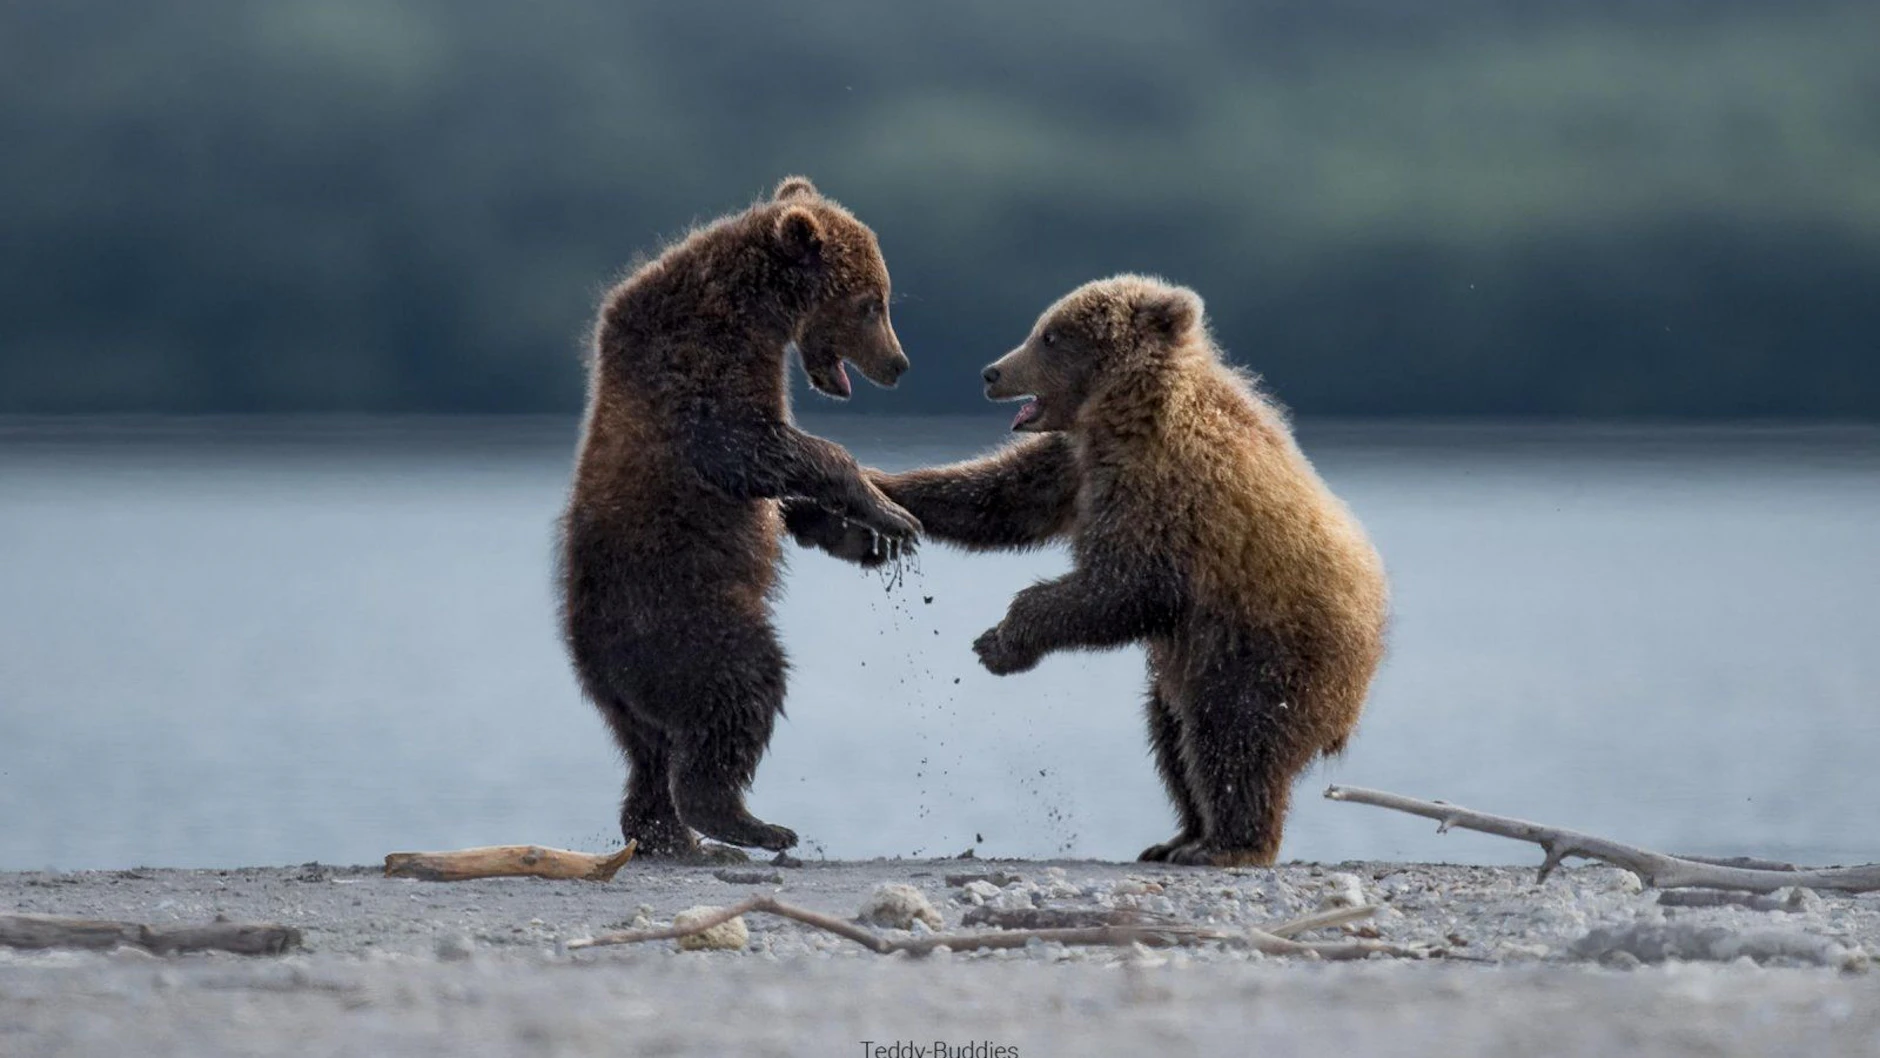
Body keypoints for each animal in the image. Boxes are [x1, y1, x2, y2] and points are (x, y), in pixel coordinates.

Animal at [560, 177, 921, 862]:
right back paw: (747, 823)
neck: (754, 313)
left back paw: (674, 836)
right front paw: (890, 512)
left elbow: (781, 493)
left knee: (649, 755)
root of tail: (593, 660)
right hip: (687, 621)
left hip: (629, 695)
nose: (899, 364)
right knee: (739, 691)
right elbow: (756, 448)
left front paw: (863, 537)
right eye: (873, 303)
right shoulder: (696, 371)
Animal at [788, 274, 1388, 866]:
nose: (992, 372)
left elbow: (1124, 587)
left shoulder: (1164, 491)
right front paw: (842, 502)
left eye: (1050, 336)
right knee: (1171, 735)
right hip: (1194, 663)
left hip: (1263, 652)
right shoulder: (1075, 463)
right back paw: (1178, 837)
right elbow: (995, 498)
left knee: (1233, 740)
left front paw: (1000, 641)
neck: (1123, 414)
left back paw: (1227, 844)